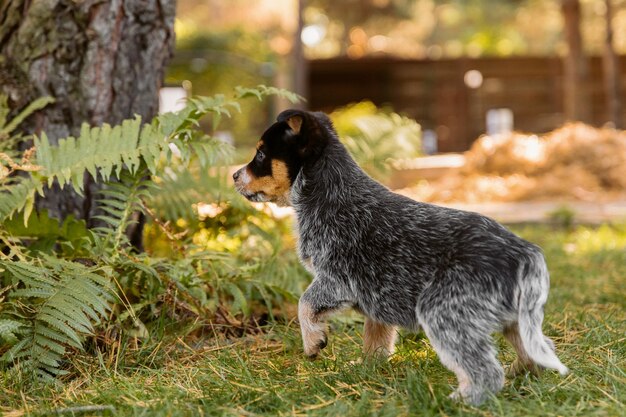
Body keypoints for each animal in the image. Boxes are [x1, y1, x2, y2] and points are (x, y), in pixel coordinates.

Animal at [232, 109, 568, 404]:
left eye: (261, 156)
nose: (234, 174)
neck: (329, 191)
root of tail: (522, 252)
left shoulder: (336, 279)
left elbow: (305, 305)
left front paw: (313, 342)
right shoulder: (375, 298)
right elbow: (376, 337)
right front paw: (367, 367)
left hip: (443, 313)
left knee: (485, 370)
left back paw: (460, 399)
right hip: (515, 319)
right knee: (538, 347)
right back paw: (522, 373)